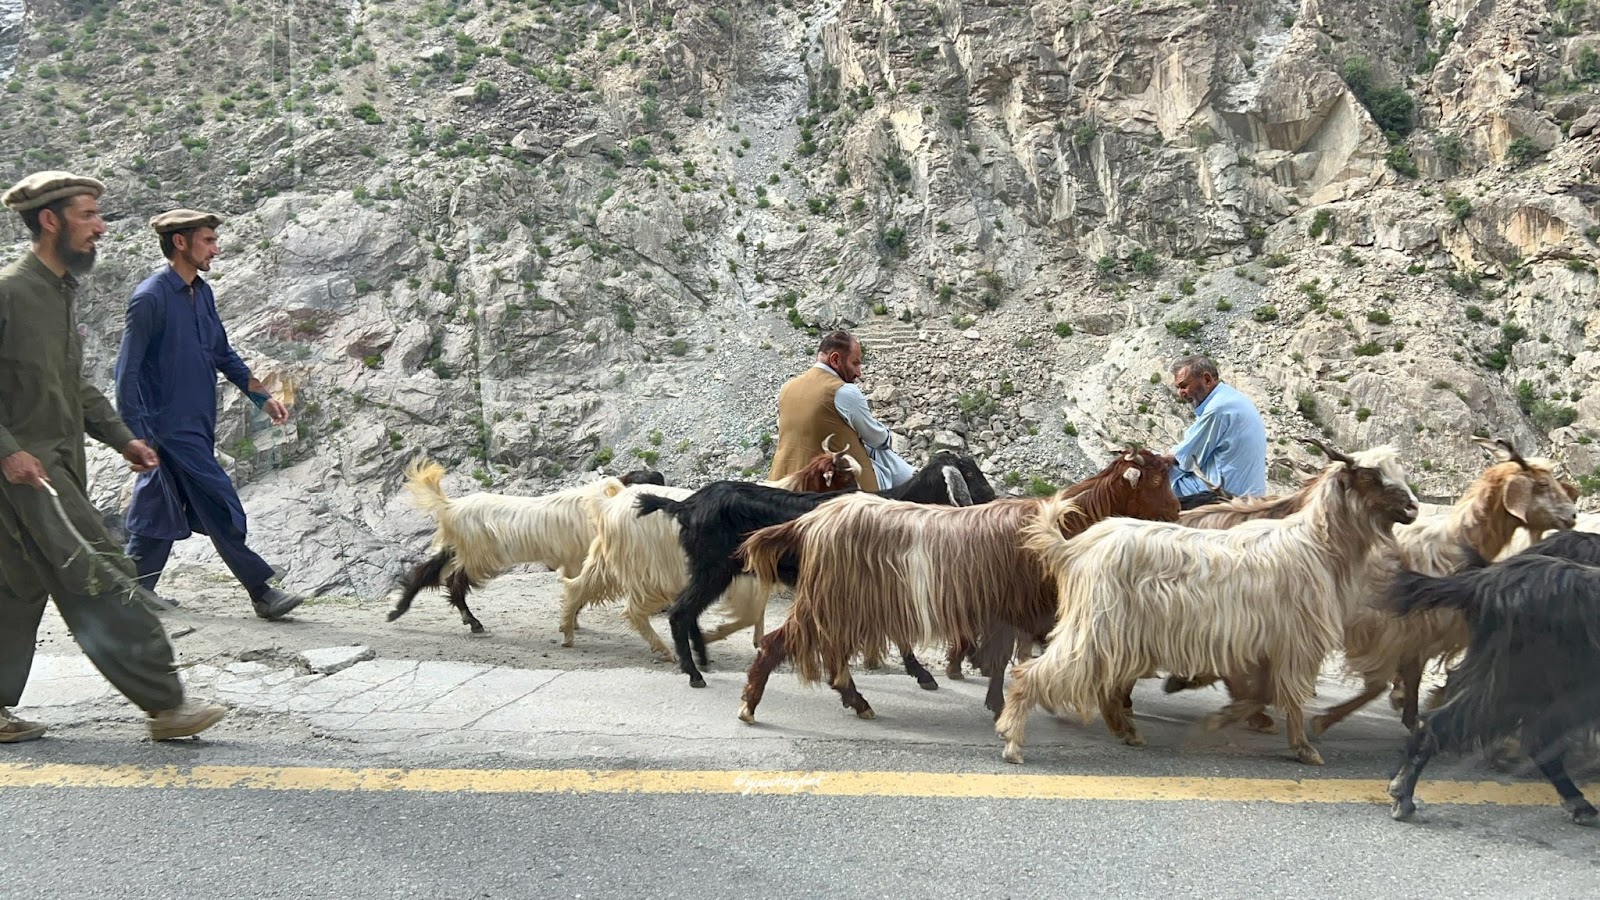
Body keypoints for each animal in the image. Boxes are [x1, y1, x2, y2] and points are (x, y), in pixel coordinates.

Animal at [732, 445, 1177, 720]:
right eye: (1155, 481)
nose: (1175, 511)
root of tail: (813, 520)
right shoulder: (1014, 607)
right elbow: (1006, 656)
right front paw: (999, 700)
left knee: (827, 657)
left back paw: (854, 700)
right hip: (832, 600)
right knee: (779, 643)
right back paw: (751, 706)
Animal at [992, 441, 1420, 762]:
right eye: (1370, 476)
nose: (1413, 509)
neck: (1317, 546)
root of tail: (1075, 549)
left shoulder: (1264, 644)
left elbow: (1263, 692)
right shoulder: (1295, 642)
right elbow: (1286, 695)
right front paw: (1302, 746)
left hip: (1110, 633)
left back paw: (1121, 730)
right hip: (1097, 627)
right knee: (1033, 673)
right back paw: (1013, 740)